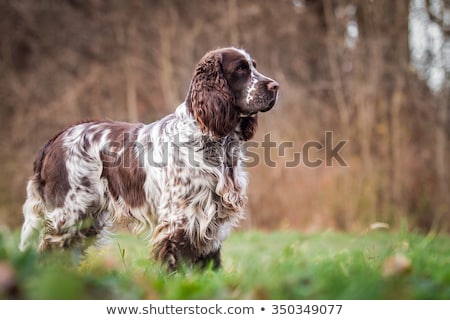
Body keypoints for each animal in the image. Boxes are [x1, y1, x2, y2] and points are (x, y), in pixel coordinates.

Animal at [20, 46, 278, 268]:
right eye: (241, 69)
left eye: (254, 66)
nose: (275, 86)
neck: (211, 140)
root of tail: (55, 139)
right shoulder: (181, 220)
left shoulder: (210, 223)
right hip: (70, 214)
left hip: (86, 218)